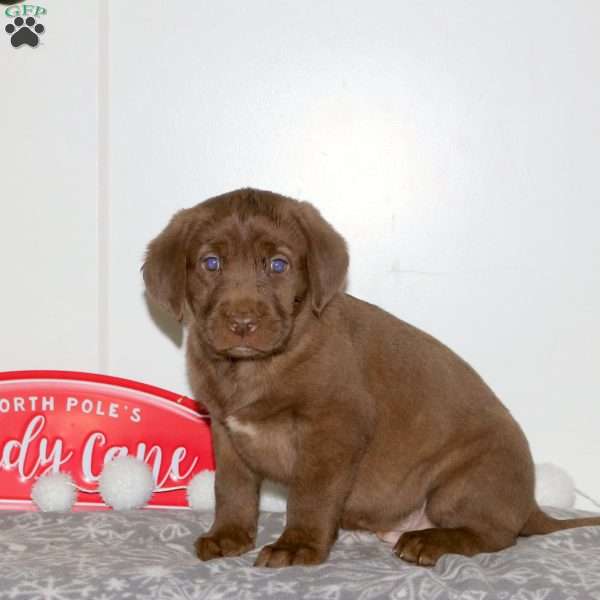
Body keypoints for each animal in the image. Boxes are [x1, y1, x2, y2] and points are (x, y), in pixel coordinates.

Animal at [142, 189, 600, 568]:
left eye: (277, 264)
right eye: (211, 263)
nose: (242, 322)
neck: (251, 368)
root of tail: (530, 504)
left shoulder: (334, 428)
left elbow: (309, 495)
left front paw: (298, 546)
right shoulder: (225, 429)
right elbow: (232, 490)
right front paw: (228, 537)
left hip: (465, 479)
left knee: (496, 535)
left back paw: (427, 542)